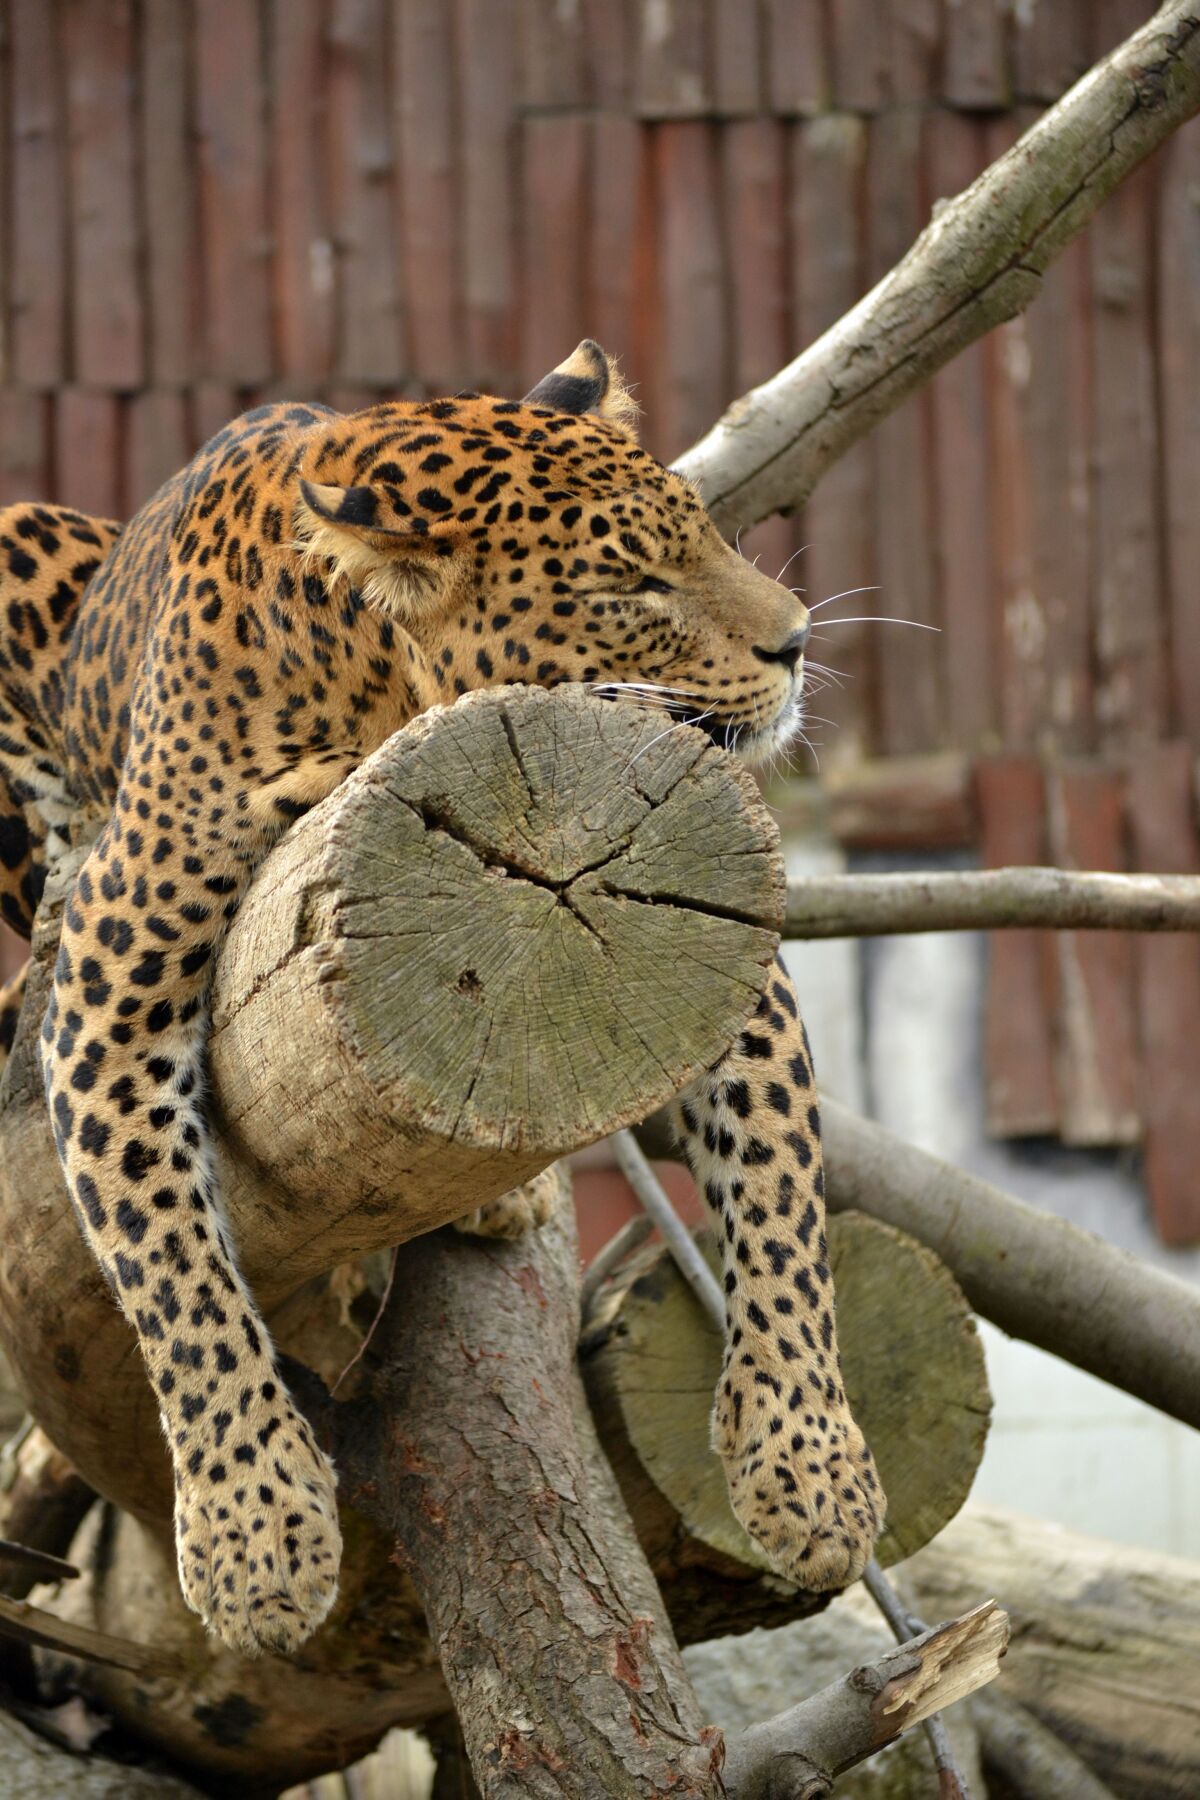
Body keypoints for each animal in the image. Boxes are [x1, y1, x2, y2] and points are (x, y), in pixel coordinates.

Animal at [0, 341, 883, 1657]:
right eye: (630, 580)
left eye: (710, 540)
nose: (796, 642)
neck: (379, 690)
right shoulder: (116, 968)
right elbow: (167, 1256)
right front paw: (256, 1534)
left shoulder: (713, 898)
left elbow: (780, 1194)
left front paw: (811, 1465)